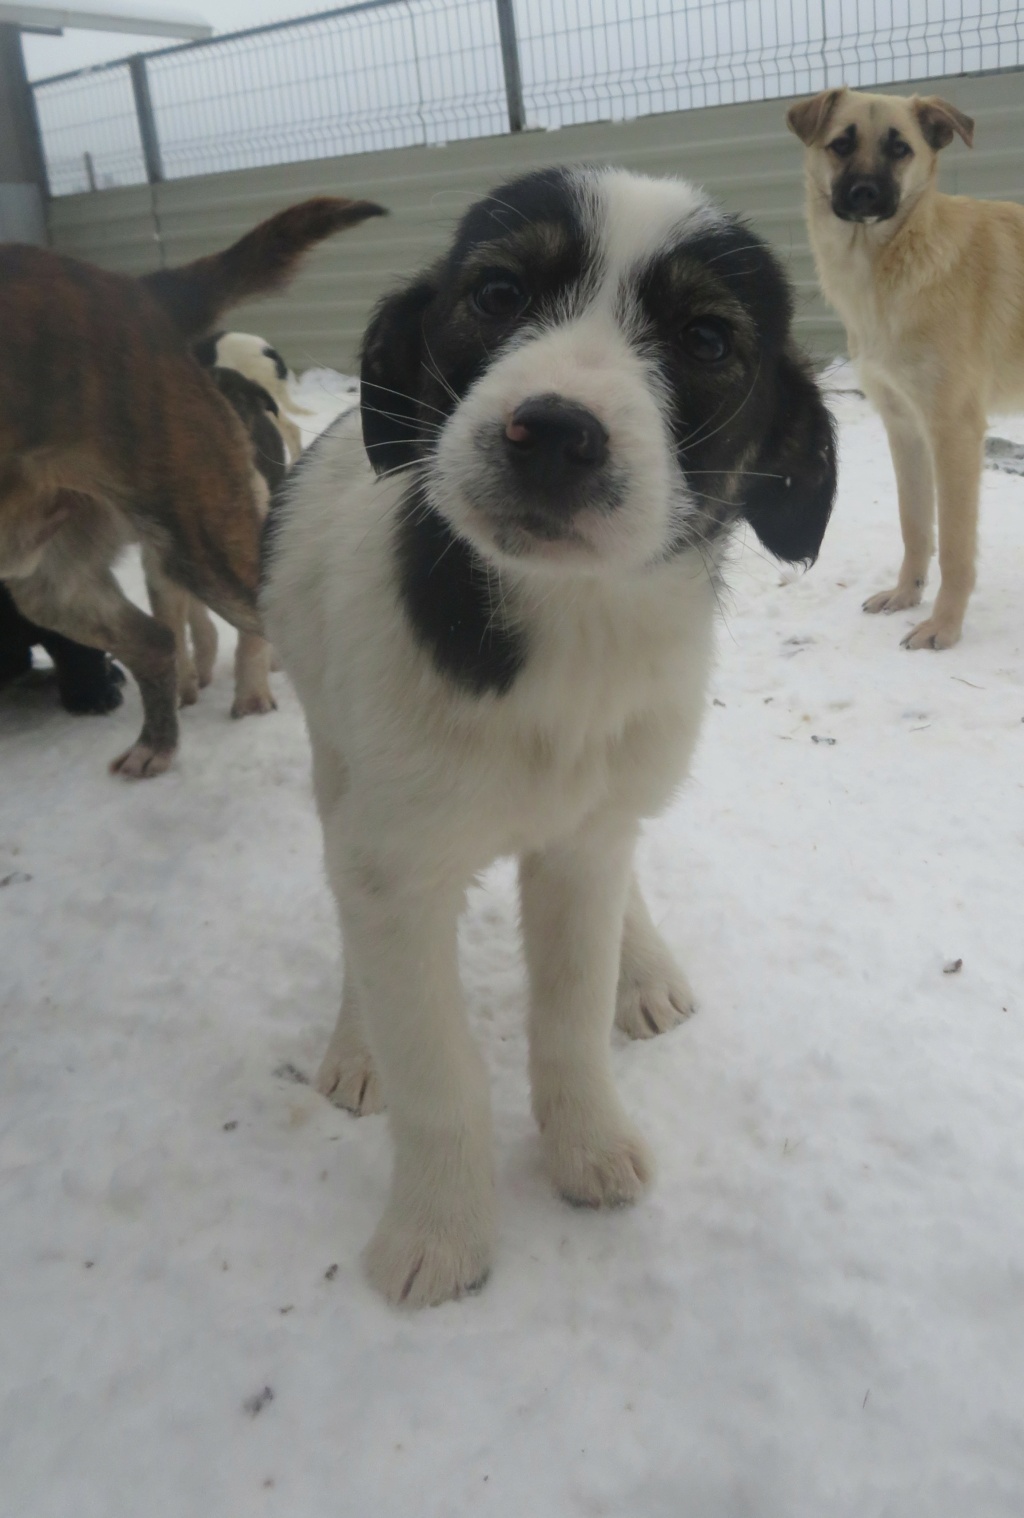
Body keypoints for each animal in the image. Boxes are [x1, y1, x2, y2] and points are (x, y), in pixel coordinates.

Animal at [788, 86, 1019, 649]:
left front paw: (944, 626)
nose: (865, 194)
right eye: (841, 144)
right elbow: (914, 524)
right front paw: (905, 596)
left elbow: (954, 544)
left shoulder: (953, 431)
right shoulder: (904, 427)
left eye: (901, 149)